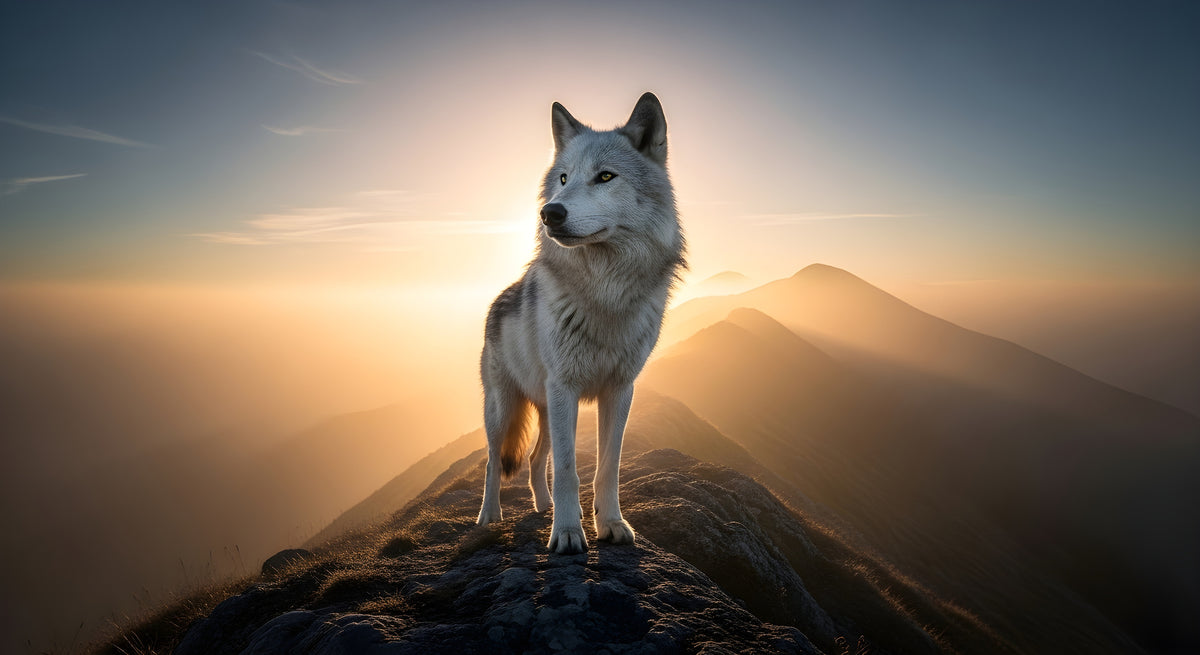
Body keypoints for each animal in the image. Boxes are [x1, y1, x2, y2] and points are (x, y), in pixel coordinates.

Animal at [476, 93, 685, 554]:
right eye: (564, 178)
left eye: (605, 176)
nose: (549, 213)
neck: (605, 294)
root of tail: (498, 300)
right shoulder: (566, 388)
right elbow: (570, 469)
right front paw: (569, 533)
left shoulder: (620, 390)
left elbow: (607, 467)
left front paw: (611, 524)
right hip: (504, 409)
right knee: (493, 462)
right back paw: (489, 517)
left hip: (545, 407)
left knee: (535, 459)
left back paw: (542, 506)